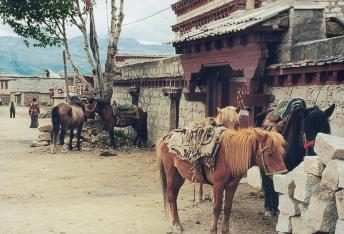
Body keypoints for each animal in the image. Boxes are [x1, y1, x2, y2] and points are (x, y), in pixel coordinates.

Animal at [157, 128, 286, 234]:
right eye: (270, 154)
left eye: (281, 152)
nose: (284, 173)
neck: (229, 156)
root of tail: (165, 138)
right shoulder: (218, 186)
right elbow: (216, 208)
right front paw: (213, 230)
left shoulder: (232, 186)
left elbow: (227, 208)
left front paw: (225, 231)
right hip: (171, 174)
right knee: (171, 197)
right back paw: (176, 225)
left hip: (179, 177)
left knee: (174, 197)